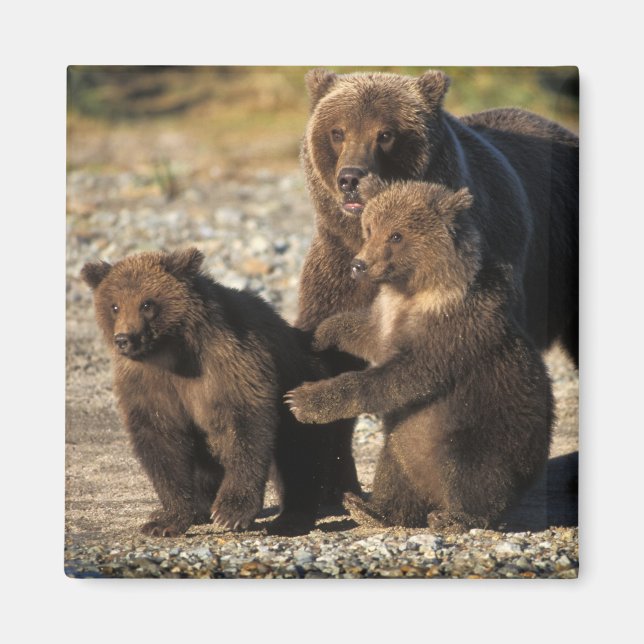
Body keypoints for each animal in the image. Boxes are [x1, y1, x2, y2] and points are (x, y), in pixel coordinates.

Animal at [81, 247, 342, 537]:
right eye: (114, 305)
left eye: (147, 304)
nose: (124, 339)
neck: (173, 352)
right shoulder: (148, 383)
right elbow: (161, 440)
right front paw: (165, 520)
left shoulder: (228, 363)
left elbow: (246, 425)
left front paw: (231, 512)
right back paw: (196, 509)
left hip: (300, 386)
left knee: (300, 455)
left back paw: (291, 518)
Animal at [286, 180, 554, 531]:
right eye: (369, 228)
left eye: (396, 235)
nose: (359, 265)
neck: (416, 291)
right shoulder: (390, 316)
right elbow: (365, 332)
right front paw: (317, 335)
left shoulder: (452, 333)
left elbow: (402, 378)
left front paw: (303, 401)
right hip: (407, 445)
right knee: (395, 462)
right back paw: (372, 508)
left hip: (487, 436)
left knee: (468, 470)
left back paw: (455, 517)